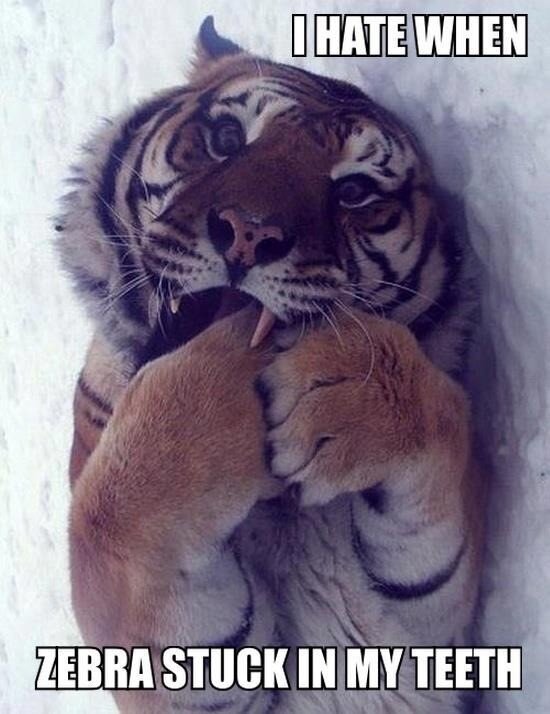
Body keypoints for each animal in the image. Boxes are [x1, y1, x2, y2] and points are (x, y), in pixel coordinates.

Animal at [57, 16, 486, 713]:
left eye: (354, 191)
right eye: (228, 138)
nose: (250, 234)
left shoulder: (429, 629)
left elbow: (447, 411)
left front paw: (345, 386)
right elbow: (107, 513)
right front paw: (215, 396)